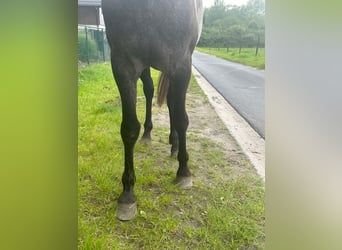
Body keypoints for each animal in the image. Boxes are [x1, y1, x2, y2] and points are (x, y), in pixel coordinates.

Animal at [101, 0, 203, 220]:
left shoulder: (182, 64)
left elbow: (181, 119)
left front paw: (184, 172)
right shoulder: (123, 64)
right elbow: (129, 128)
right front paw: (127, 194)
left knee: (173, 103)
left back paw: (175, 146)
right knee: (150, 91)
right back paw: (150, 134)